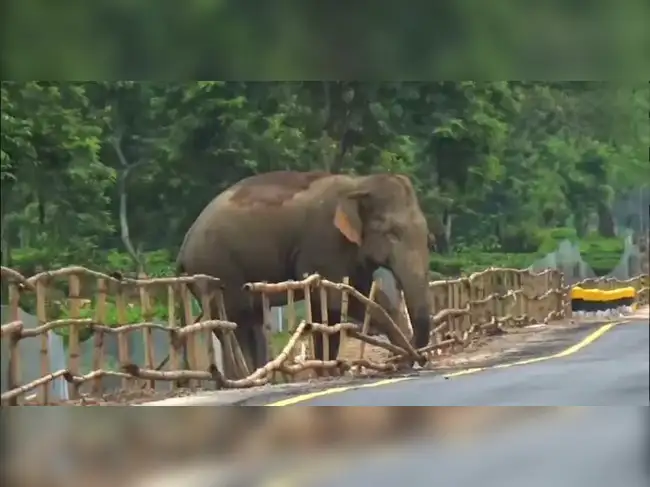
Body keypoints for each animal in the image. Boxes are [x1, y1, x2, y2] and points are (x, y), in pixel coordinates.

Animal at [175, 170, 433, 376]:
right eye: (392, 233)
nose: (421, 358)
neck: (358, 183)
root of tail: (184, 246)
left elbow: (350, 298)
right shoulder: (324, 243)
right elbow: (336, 301)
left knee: (250, 319)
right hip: (215, 267)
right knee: (235, 320)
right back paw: (246, 377)